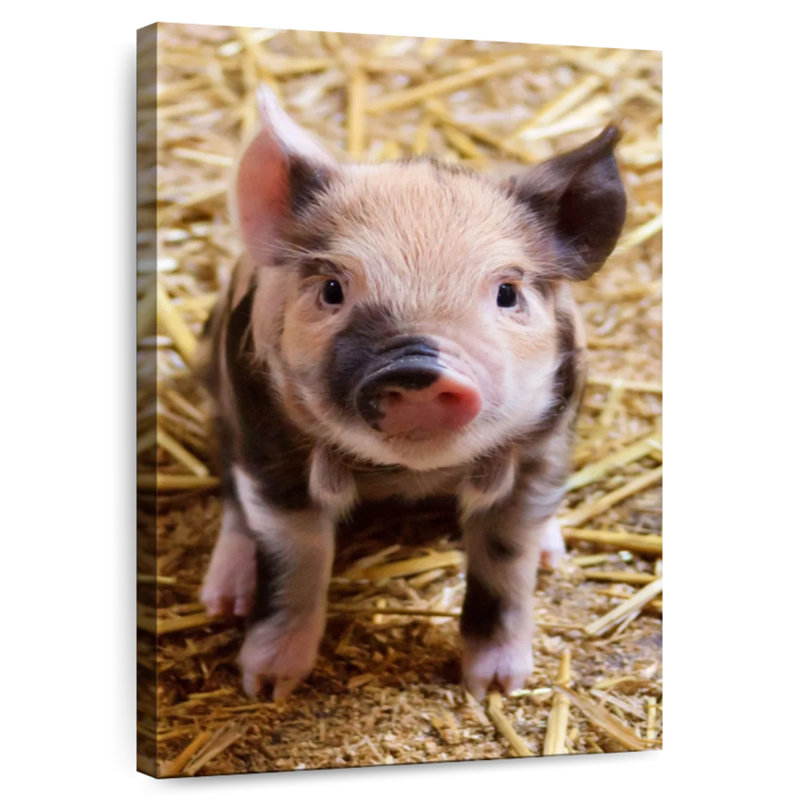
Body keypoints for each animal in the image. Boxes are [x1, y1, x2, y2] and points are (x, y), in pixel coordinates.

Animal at [199, 87, 626, 701]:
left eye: (507, 293)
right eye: (333, 289)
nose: (419, 368)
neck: (410, 476)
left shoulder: (544, 447)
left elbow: (506, 560)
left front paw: (496, 688)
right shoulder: (269, 446)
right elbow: (295, 559)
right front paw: (268, 686)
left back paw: (553, 555)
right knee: (234, 500)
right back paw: (223, 601)